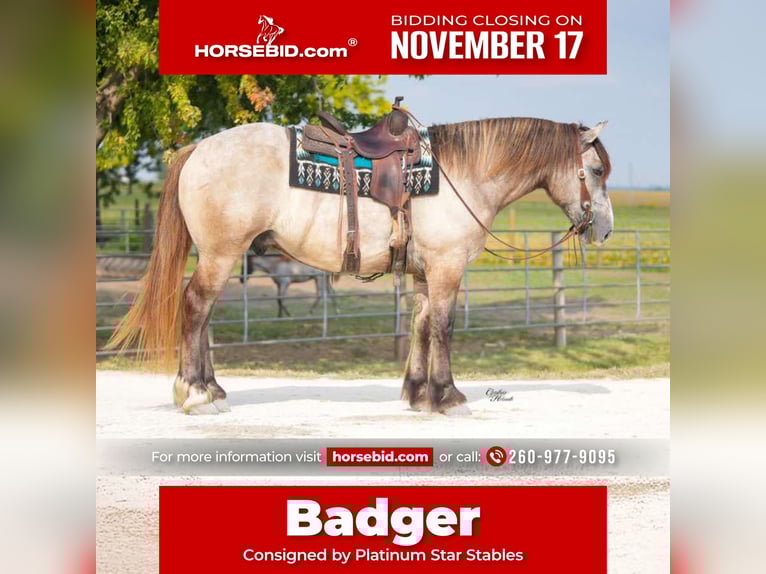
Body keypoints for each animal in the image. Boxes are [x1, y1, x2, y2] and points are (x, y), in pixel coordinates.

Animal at [108, 116, 612, 415]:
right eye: (597, 171)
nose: (605, 229)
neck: (462, 174)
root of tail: (198, 149)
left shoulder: (425, 273)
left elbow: (420, 324)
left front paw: (417, 393)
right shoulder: (447, 268)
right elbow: (443, 327)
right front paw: (448, 396)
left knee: (205, 313)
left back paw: (212, 389)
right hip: (221, 253)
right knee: (196, 307)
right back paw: (194, 393)